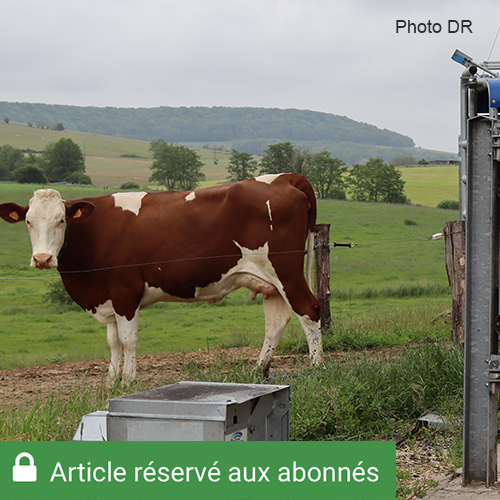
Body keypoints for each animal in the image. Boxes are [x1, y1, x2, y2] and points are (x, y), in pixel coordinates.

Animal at [0, 174, 322, 384]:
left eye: (61, 220)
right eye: (28, 221)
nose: (42, 259)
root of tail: (283, 177)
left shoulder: (125, 290)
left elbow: (127, 340)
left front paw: (128, 381)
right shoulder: (107, 296)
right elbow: (112, 341)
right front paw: (110, 381)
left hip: (286, 272)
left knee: (309, 311)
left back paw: (317, 369)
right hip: (270, 283)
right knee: (276, 322)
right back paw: (258, 372)